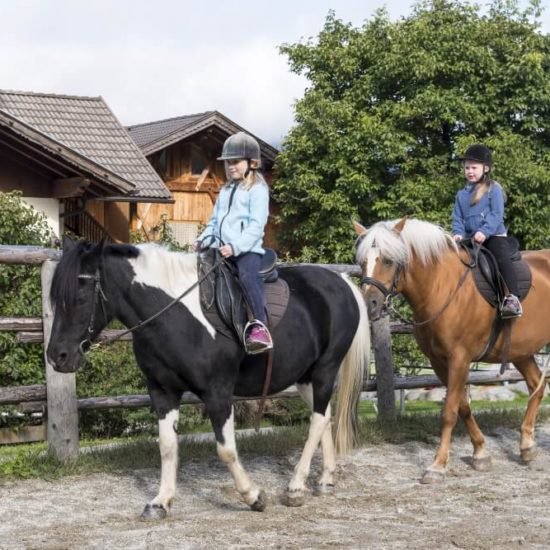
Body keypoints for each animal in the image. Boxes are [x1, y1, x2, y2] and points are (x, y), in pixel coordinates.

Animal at [46, 239, 370, 520]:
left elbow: (225, 450)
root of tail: (342, 282)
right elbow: (167, 446)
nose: (57, 357)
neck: (174, 316)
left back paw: (295, 487)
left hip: (325, 369)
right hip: (305, 377)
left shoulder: (218, 393)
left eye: (80, 296)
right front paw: (161, 502)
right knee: (325, 416)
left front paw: (254, 496)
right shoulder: (162, 391)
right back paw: (325, 481)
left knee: (317, 420)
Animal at [356, 218, 548, 486]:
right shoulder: (439, 361)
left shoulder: (459, 358)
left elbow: (449, 412)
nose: (369, 305)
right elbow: (462, 405)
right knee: (536, 385)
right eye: (362, 262)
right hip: (520, 351)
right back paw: (527, 447)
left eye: (388, 260)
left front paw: (437, 466)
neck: (441, 287)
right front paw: (480, 453)